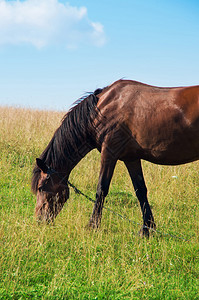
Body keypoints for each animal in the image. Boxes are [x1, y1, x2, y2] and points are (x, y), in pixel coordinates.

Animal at [31, 79, 199, 237]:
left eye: (41, 187)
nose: (39, 220)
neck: (100, 110)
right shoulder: (131, 158)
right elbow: (140, 191)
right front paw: (146, 229)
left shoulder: (109, 153)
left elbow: (101, 189)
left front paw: (92, 226)